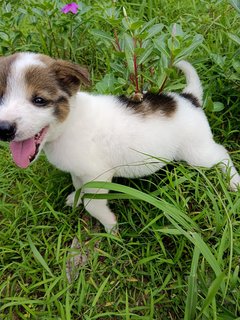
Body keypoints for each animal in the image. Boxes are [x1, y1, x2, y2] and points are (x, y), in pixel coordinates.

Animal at [0, 52, 239, 232]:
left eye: (39, 100)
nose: (4, 129)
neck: (69, 124)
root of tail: (189, 99)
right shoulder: (79, 171)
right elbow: (78, 186)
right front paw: (75, 199)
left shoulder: (99, 175)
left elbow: (92, 205)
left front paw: (110, 226)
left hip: (197, 152)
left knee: (221, 155)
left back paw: (234, 181)